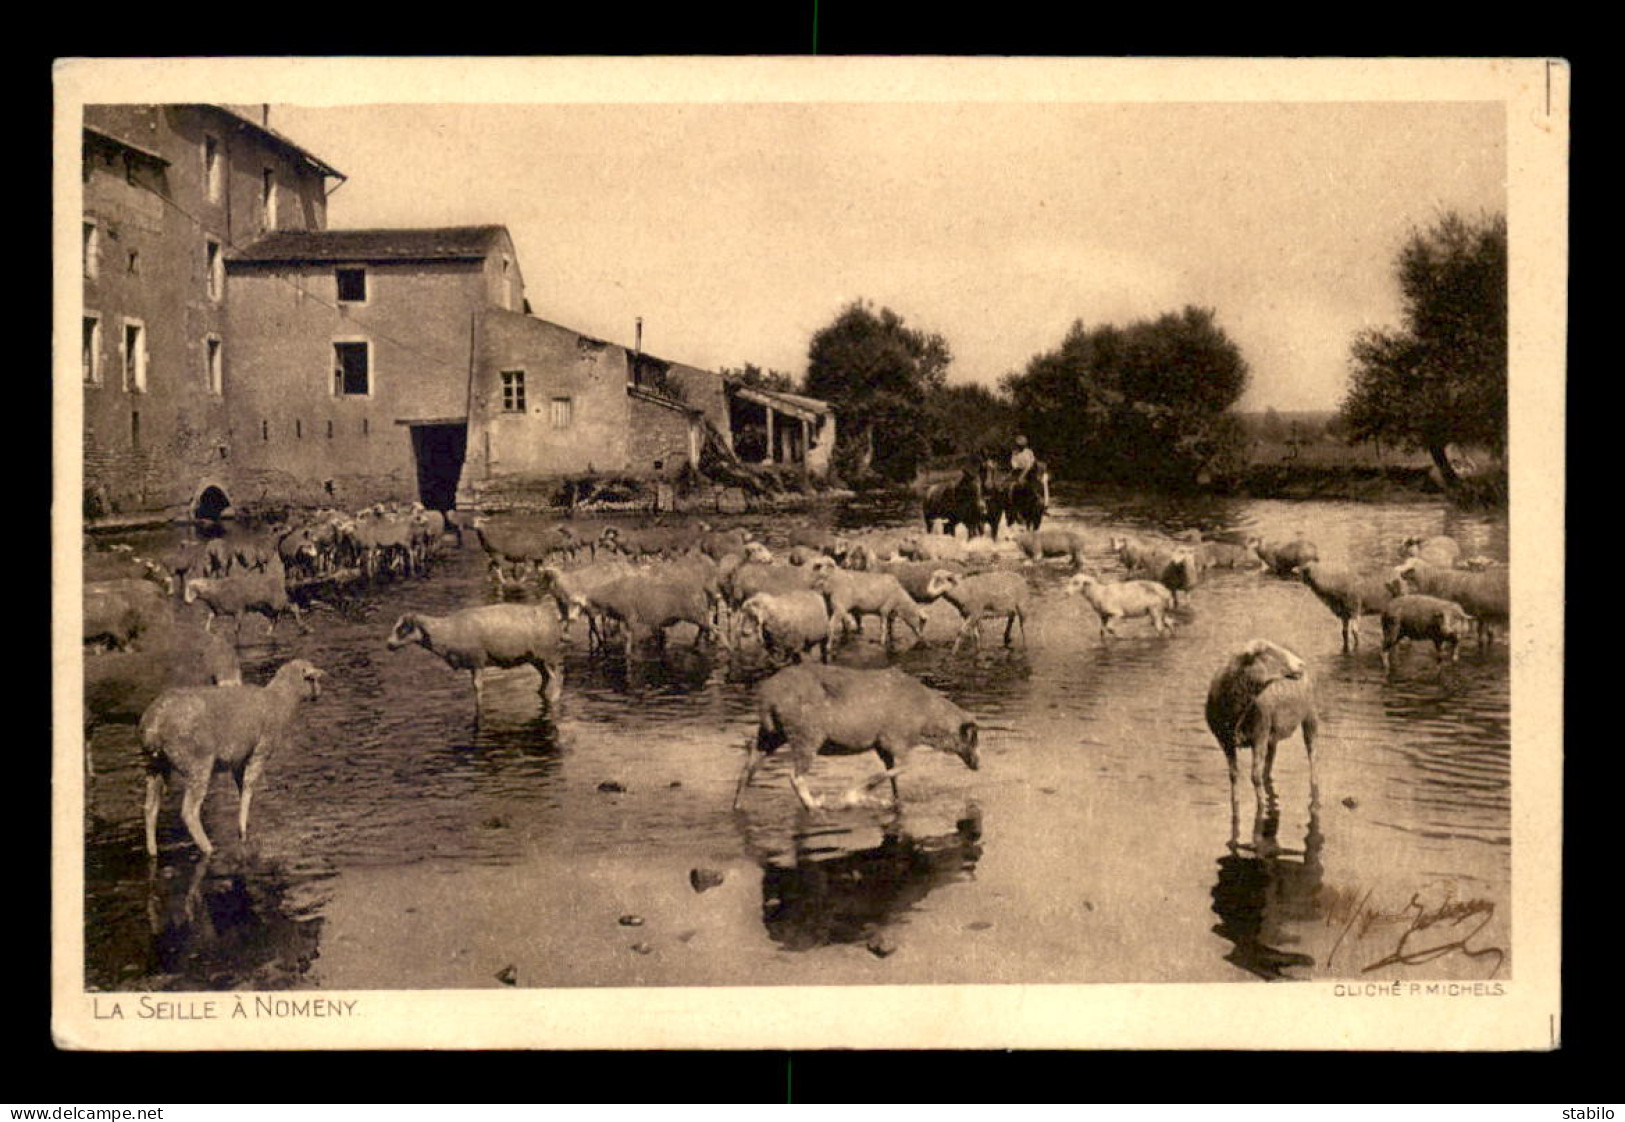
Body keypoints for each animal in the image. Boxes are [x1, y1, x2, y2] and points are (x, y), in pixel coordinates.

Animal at [139, 650, 323, 852]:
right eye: (314, 679)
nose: (319, 692)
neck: (280, 701)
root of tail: (154, 723)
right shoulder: (260, 753)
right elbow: (249, 787)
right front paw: (242, 830)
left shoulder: (239, 760)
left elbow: (242, 789)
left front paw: (246, 823)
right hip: (197, 763)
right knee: (189, 812)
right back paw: (208, 848)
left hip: (154, 765)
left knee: (150, 808)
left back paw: (152, 850)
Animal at [385, 601, 565, 715]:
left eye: (402, 629)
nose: (389, 645)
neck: (446, 631)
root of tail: (552, 617)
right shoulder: (472, 664)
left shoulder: (477, 661)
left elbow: (478, 687)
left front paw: (478, 707)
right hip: (535, 658)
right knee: (545, 676)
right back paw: (540, 692)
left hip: (548, 655)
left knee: (558, 677)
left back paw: (554, 699)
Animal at [737, 660, 975, 809]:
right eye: (973, 739)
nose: (977, 764)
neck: (927, 718)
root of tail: (768, 697)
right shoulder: (896, 741)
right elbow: (901, 769)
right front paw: (855, 794)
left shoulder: (883, 747)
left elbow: (893, 775)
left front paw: (895, 801)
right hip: (806, 735)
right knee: (795, 777)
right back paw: (815, 806)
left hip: (772, 734)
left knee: (748, 768)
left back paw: (738, 804)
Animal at [1209, 637, 1319, 803]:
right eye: (1265, 651)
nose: (1301, 664)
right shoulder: (1224, 740)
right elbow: (1234, 776)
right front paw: (1235, 801)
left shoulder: (1259, 736)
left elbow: (1255, 777)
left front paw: (1260, 804)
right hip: (1272, 733)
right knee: (1270, 761)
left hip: (1310, 714)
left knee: (1312, 753)